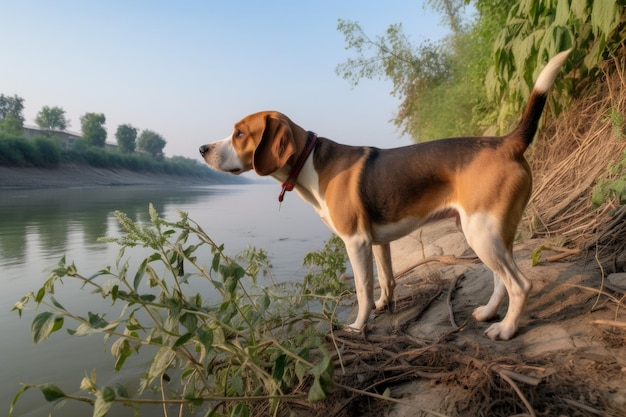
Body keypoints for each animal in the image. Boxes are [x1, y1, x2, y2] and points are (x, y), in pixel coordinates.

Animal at [200, 49, 572, 342]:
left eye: (239, 133)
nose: (202, 148)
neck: (310, 163)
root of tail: (506, 141)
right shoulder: (378, 242)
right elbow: (387, 280)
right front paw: (385, 307)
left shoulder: (356, 242)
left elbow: (363, 289)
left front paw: (358, 326)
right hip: (488, 235)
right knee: (500, 281)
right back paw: (489, 313)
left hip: (482, 234)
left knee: (520, 285)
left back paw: (506, 329)